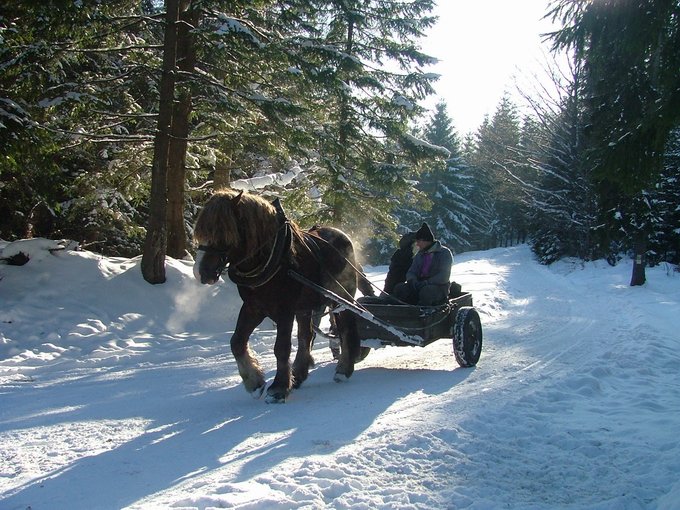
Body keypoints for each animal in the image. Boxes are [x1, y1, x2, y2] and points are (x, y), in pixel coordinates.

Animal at [191, 187, 364, 402]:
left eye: (223, 232)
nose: (200, 273)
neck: (274, 257)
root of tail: (342, 235)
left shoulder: (284, 311)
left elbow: (281, 348)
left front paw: (278, 388)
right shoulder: (253, 307)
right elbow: (236, 342)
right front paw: (255, 382)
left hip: (340, 299)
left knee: (345, 328)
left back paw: (343, 369)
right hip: (306, 307)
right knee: (306, 336)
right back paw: (298, 374)